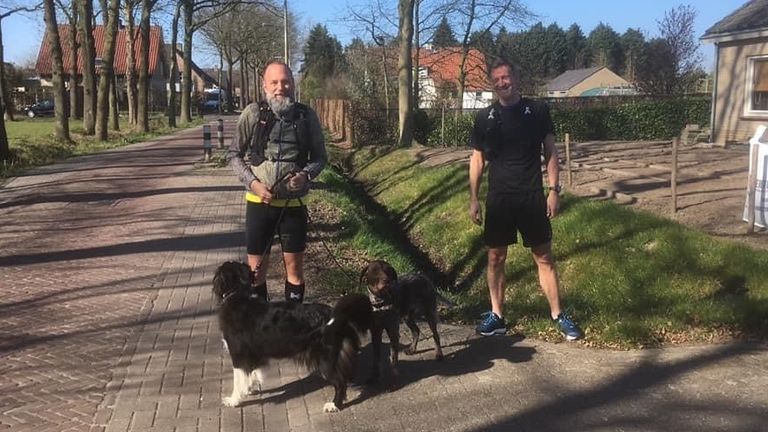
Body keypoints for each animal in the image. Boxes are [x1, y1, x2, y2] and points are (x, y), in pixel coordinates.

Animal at [213, 260, 372, 412]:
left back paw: (334, 405)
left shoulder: (238, 355)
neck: (239, 294)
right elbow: (251, 374)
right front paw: (248, 388)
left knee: (340, 382)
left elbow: (238, 379)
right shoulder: (253, 355)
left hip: (325, 359)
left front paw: (233, 400)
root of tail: (336, 314)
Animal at [360, 258, 444, 386]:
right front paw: (374, 377)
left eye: (388, 270)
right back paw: (412, 349)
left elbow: (393, 358)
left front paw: (393, 382)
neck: (381, 304)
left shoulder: (393, 332)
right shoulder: (375, 333)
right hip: (407, 317)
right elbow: (376, 359)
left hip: (429, 313)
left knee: (435, 335)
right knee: (416, 331)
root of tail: (423, 277)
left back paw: (439, 354)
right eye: (375, 270)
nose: (387, 281)